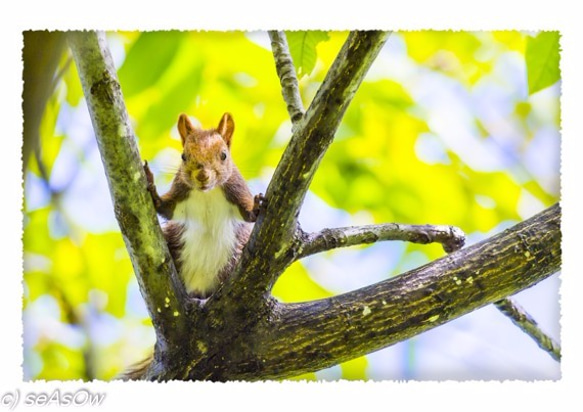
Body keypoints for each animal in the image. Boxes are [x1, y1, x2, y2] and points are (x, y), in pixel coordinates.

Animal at [120, 112, 264, 380]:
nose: (202, 176)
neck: (206, 193)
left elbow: (248, 214)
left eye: (224, 155)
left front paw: (258, 205)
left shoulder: (236, 189)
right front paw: (150, 183)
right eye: (183, 156)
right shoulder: (180, 193)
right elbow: (163, 207)